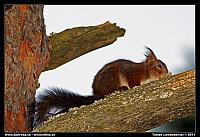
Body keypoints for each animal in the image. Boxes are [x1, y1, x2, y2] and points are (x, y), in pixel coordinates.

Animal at [32, 46, 169, 128]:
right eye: (159, 66)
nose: (167, 73)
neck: (146, 72)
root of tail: (97, 93)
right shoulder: (132, 73)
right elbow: (133, 82)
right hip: (112, 76)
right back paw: (121, 89)